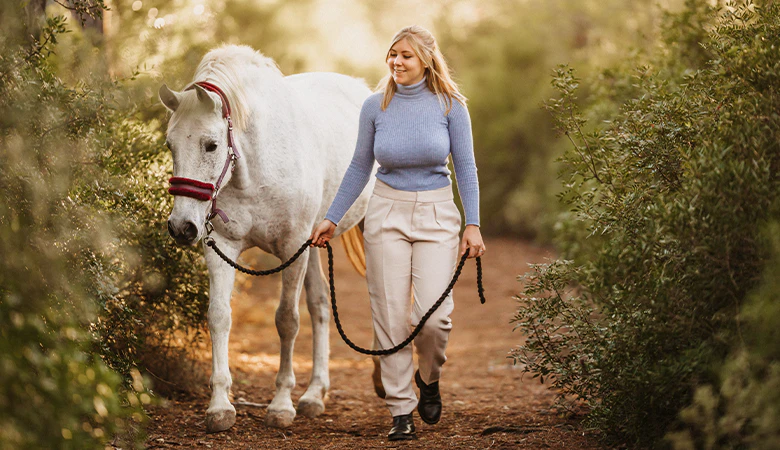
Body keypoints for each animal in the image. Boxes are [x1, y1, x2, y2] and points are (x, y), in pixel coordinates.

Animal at [159, 45, 382, 432]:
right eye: (170, 145)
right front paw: (220, 406)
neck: (257, 166)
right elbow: (219, 316)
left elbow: (287, 321)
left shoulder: (293, 248)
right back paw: (314, 395)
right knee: (320, 306)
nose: (182, 227)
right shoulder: (222, 249)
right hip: (315, 242)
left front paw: (280, 405)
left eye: (211, 145)